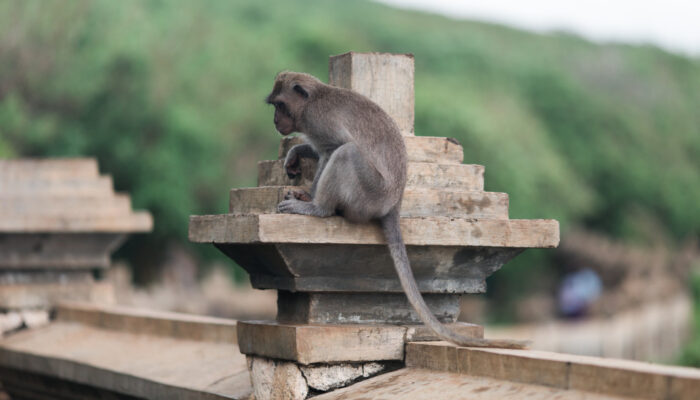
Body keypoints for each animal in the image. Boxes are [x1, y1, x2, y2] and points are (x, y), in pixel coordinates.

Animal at [266, 71, 528, 349]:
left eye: (280, 105)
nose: (275, 120)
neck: (313, 100)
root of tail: (394, 203)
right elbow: (317, 150)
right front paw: (296, 154)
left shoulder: (319, 121)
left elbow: (332, 148)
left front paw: (309, 197)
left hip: (368, 195)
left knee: (347, 152)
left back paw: (319, 208)